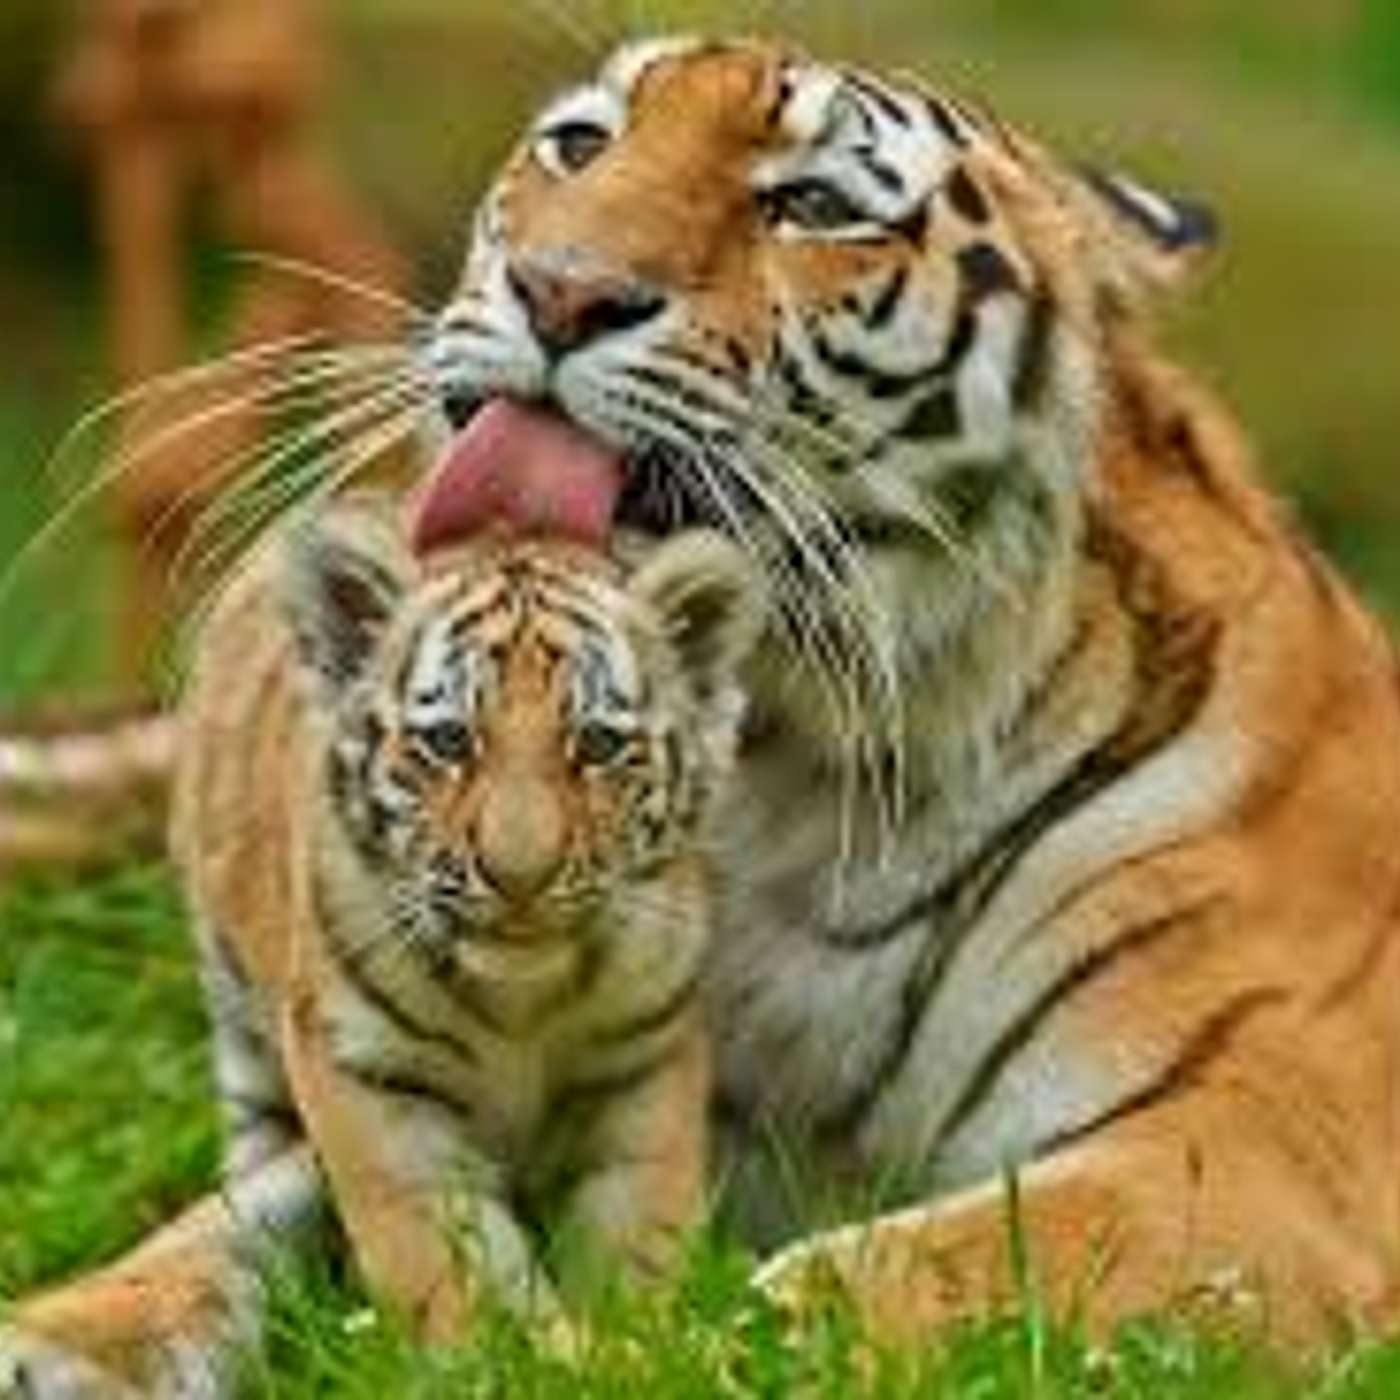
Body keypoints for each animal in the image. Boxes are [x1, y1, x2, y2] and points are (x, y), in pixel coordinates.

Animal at [1, 495, 762, 1395]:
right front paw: (510, 1359)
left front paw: (634, 1345)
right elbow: (447, 1254)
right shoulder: (372, 1077)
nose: (520, 876)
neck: (523, 1001)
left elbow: (635, 1229)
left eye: (598, 746)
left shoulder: (642, 1062)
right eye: (450, 742)